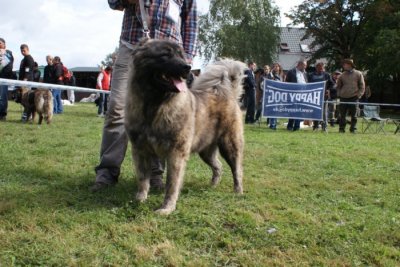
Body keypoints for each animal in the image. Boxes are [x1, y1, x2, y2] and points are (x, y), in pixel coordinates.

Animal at [125, 40, 245, 216]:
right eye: (165, 55)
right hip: (206, 151)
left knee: (236, 169)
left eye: (181, 55)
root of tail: (227, 93)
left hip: (229, 144)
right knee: (218, 166)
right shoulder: (140, 150)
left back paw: (238, 191)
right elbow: (142, 178)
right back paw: (213, 185)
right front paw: (140, 198)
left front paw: (166, 208)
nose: (187, 67)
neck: (155, 105)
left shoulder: (175, 153)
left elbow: (172, 184)